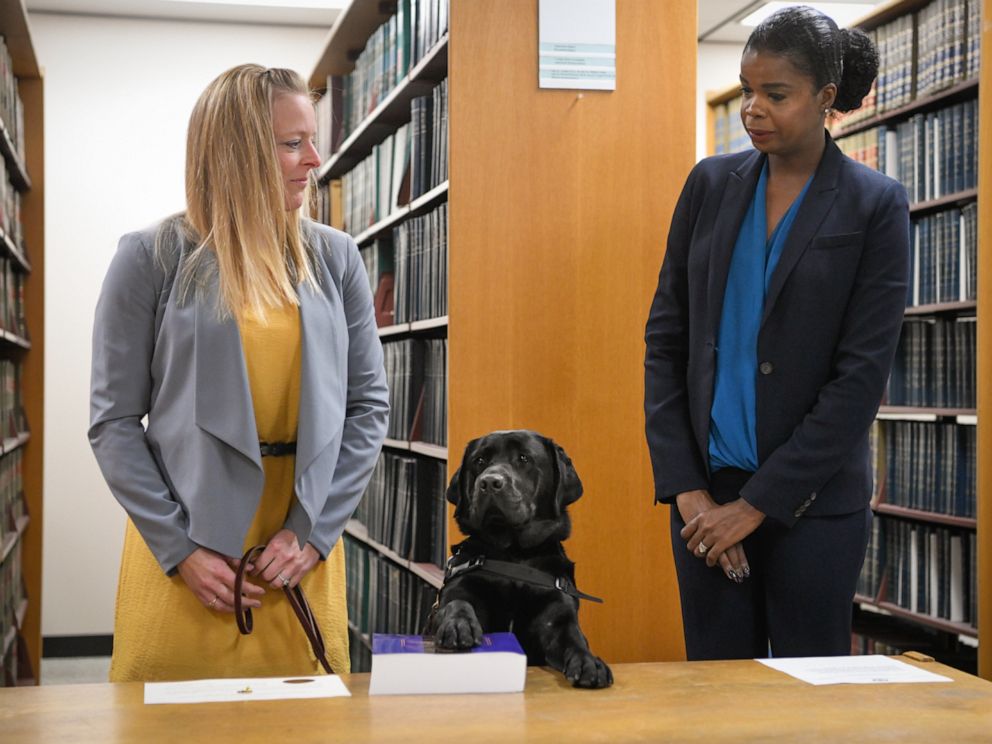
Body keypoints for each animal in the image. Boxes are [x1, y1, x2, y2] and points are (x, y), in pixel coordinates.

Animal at [432, 430, 612, 692]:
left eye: (524, 458)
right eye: (479, 461)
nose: (489, 482)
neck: (515, 555)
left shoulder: (557, 615)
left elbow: (575, 639)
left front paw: (590, 662)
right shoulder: (459, 588)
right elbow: (457, 603)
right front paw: (458, 624)